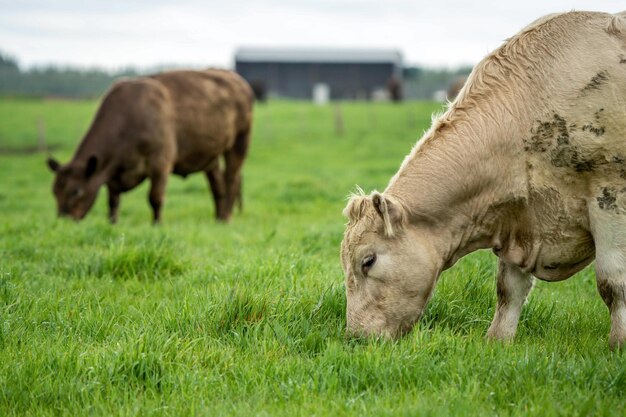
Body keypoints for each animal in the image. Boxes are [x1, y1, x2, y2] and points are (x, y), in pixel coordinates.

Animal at [45, 69, 254, 224]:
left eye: (76, 191)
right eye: (54, 191)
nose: (63, 220)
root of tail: (236, 79)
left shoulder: (160, 163)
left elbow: (155, 198)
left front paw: (157, 224)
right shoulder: (111, 171)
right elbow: (113, 201)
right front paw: (113, 223)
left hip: (239, 143)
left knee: (232, 179)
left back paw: (226, 218)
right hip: (211, 156)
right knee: (217, 186)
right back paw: (218, 218)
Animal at [342, 10, 626, 348]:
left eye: (367, 261)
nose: (357, 336)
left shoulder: (610, 196)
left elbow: (613, 282)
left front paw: (619, 343)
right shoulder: (521, 218)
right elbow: (509, 290)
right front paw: (499, 340)